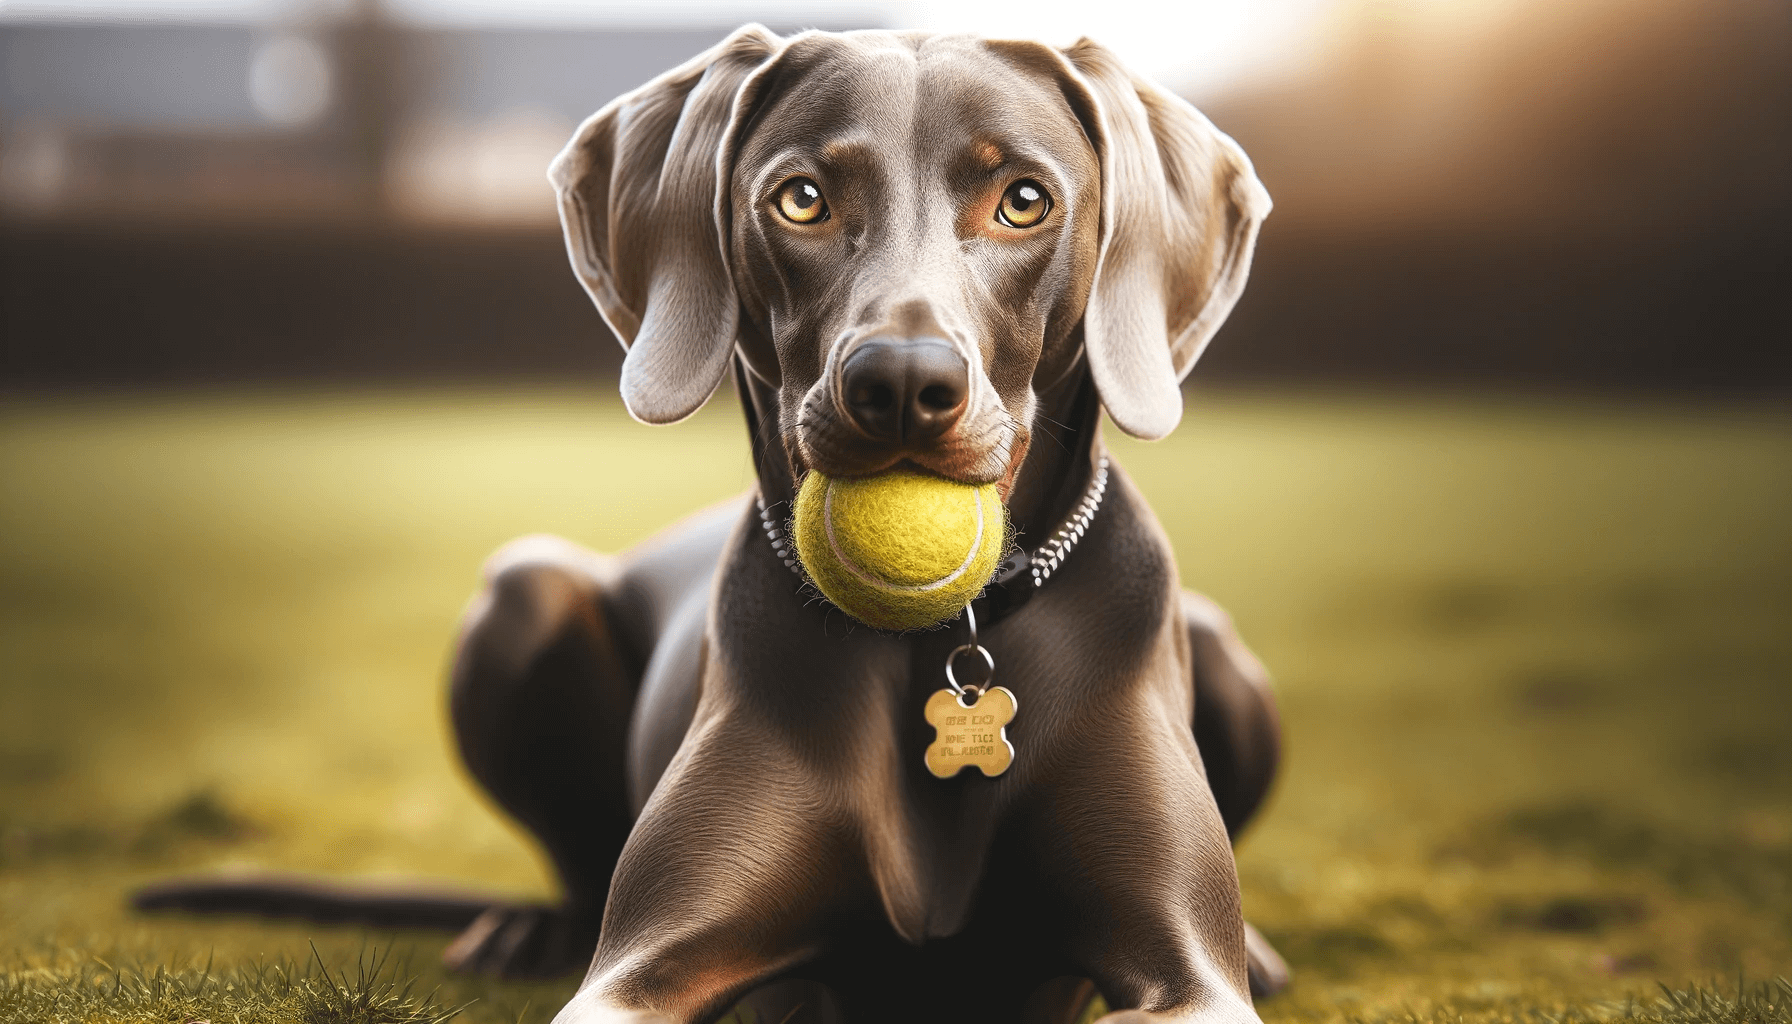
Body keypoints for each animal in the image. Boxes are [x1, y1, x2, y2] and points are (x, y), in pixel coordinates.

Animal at [139, 22, 1290, 1024]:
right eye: (802, 199)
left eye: (1023, 201)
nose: (901, 386)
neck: (935, 646)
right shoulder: (646, 966)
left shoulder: (1185, 977)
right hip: (523, 590)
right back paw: (528, 928)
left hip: (1224, 650)